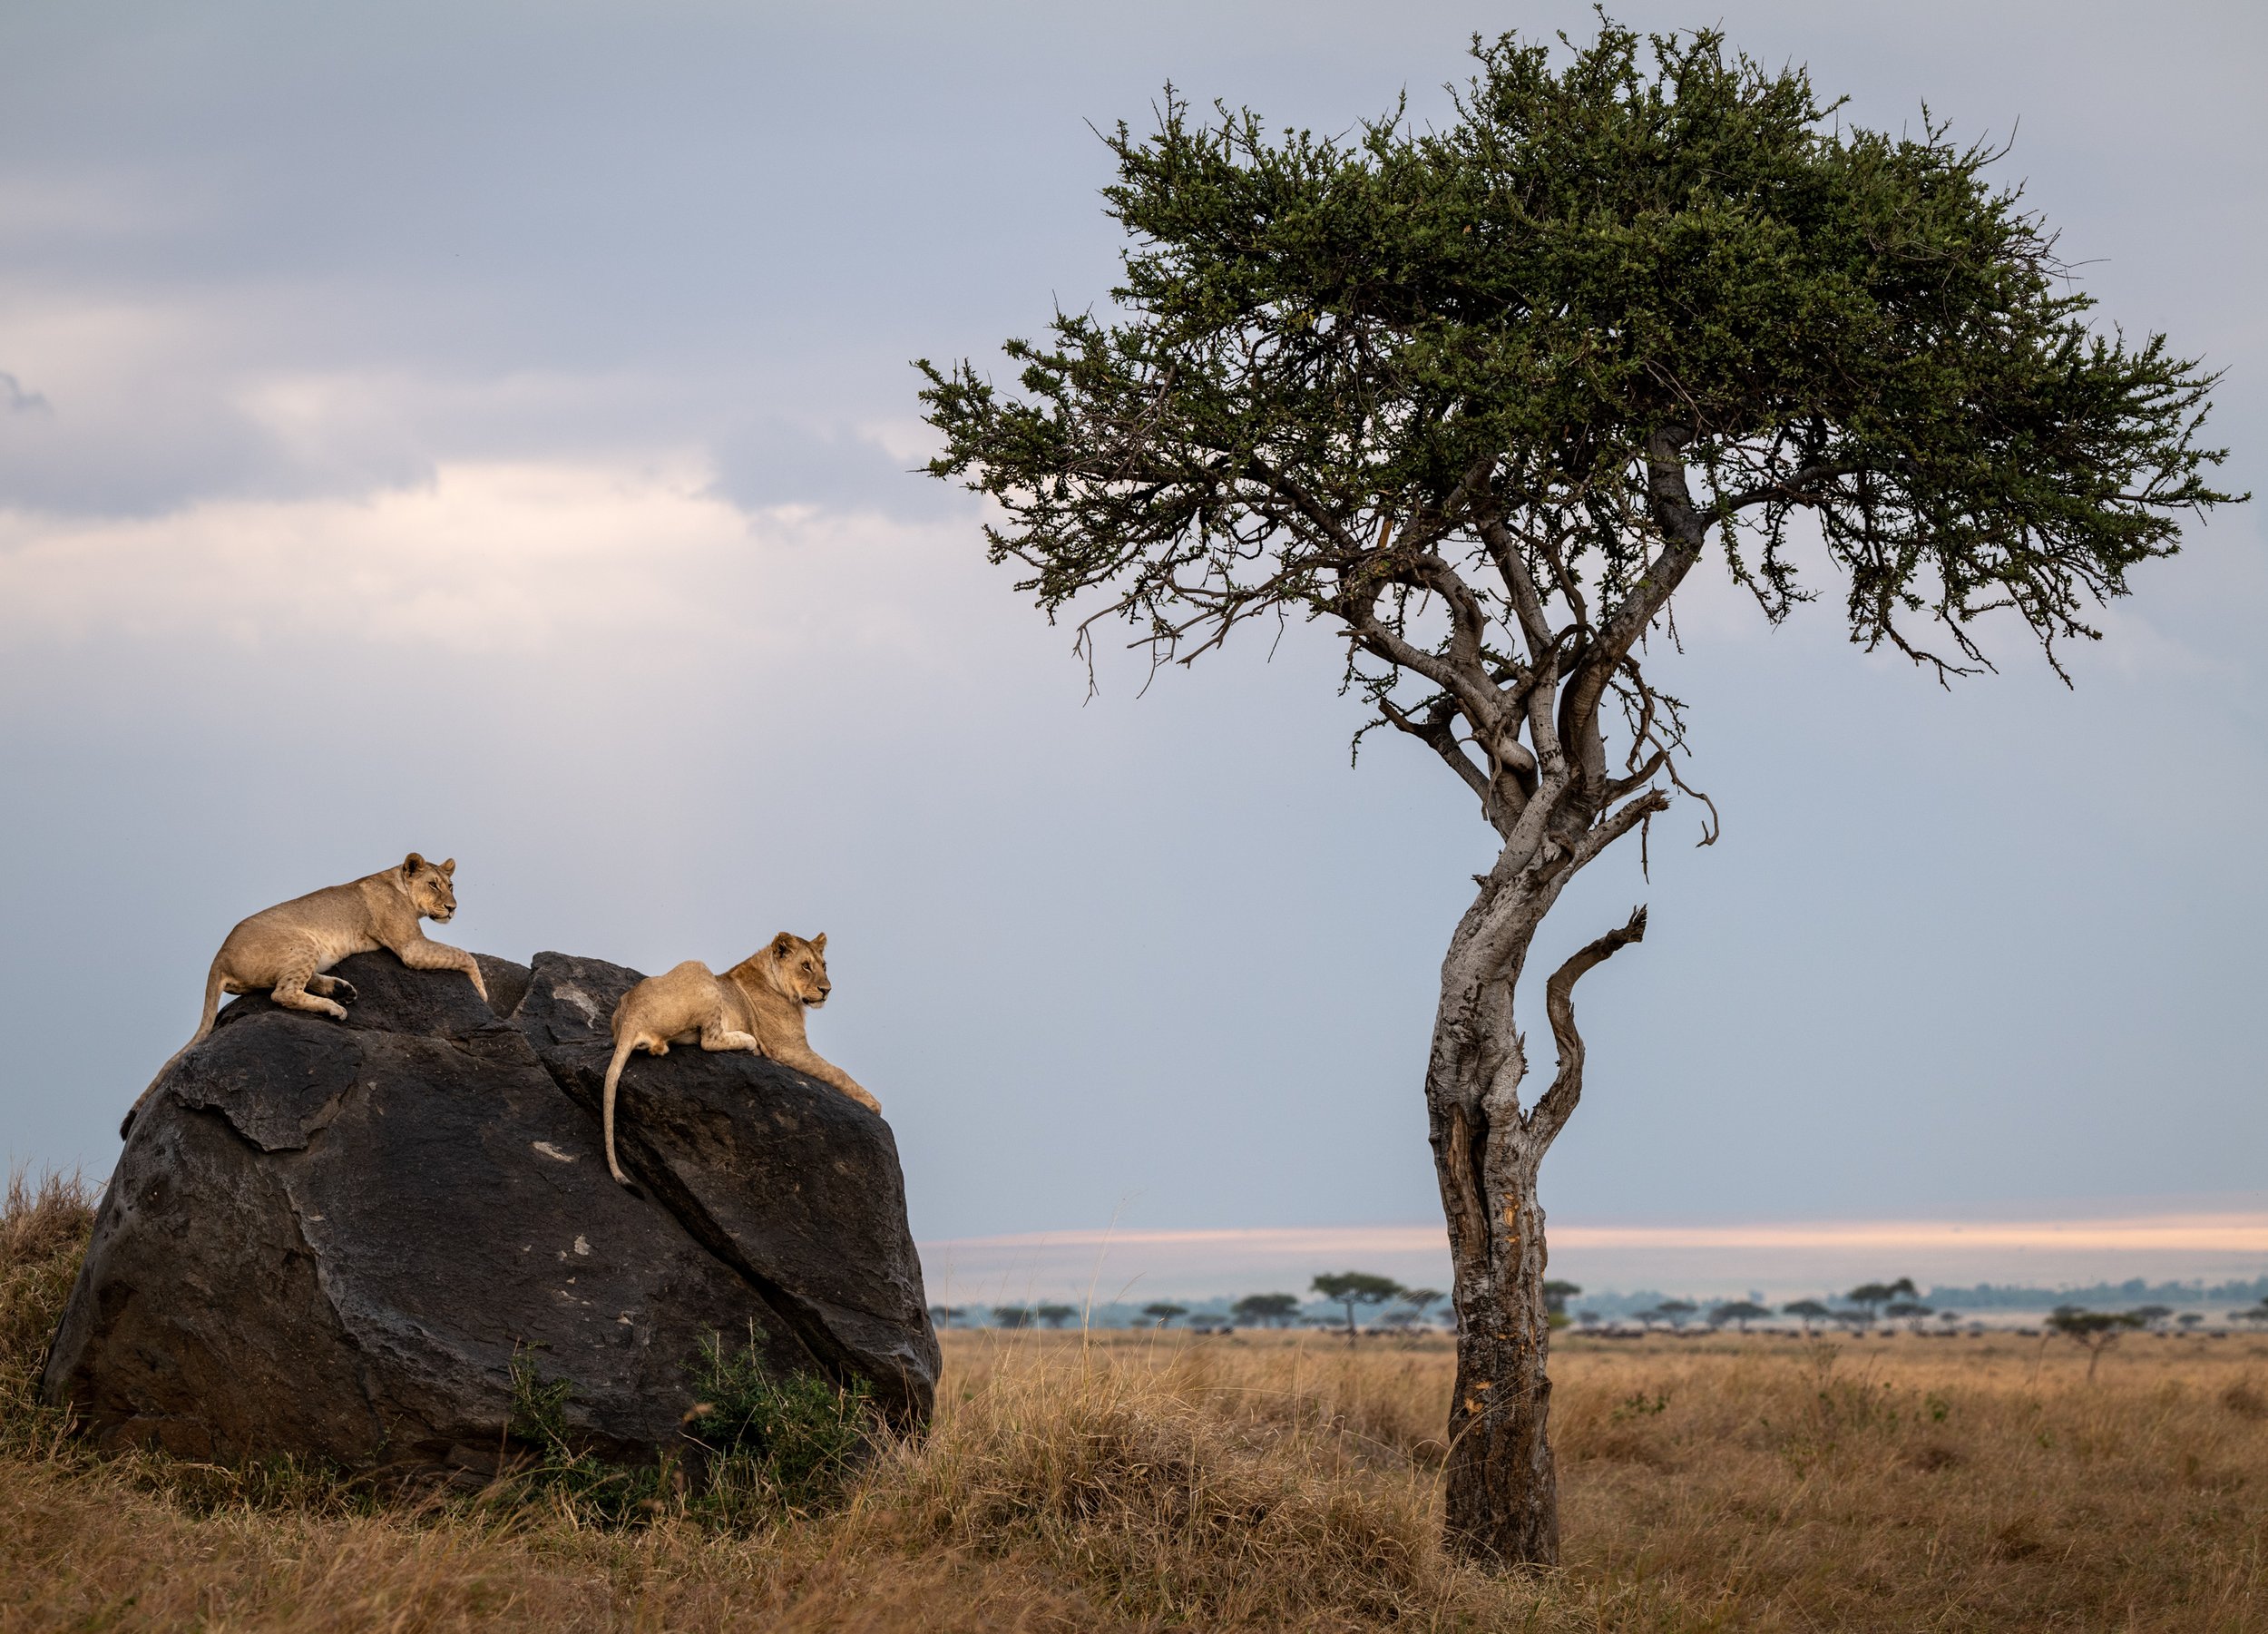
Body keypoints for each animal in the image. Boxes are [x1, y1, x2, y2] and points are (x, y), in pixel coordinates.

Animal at [599, 930, 871, 1189]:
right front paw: (872, 1105)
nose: (827, 990)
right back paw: (748, 1041)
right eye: (805, 966)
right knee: (709, 1040)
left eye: (824, 966)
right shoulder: (787, 1048)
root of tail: (631, 1015)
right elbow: (837, 1073)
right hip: (699, 968)